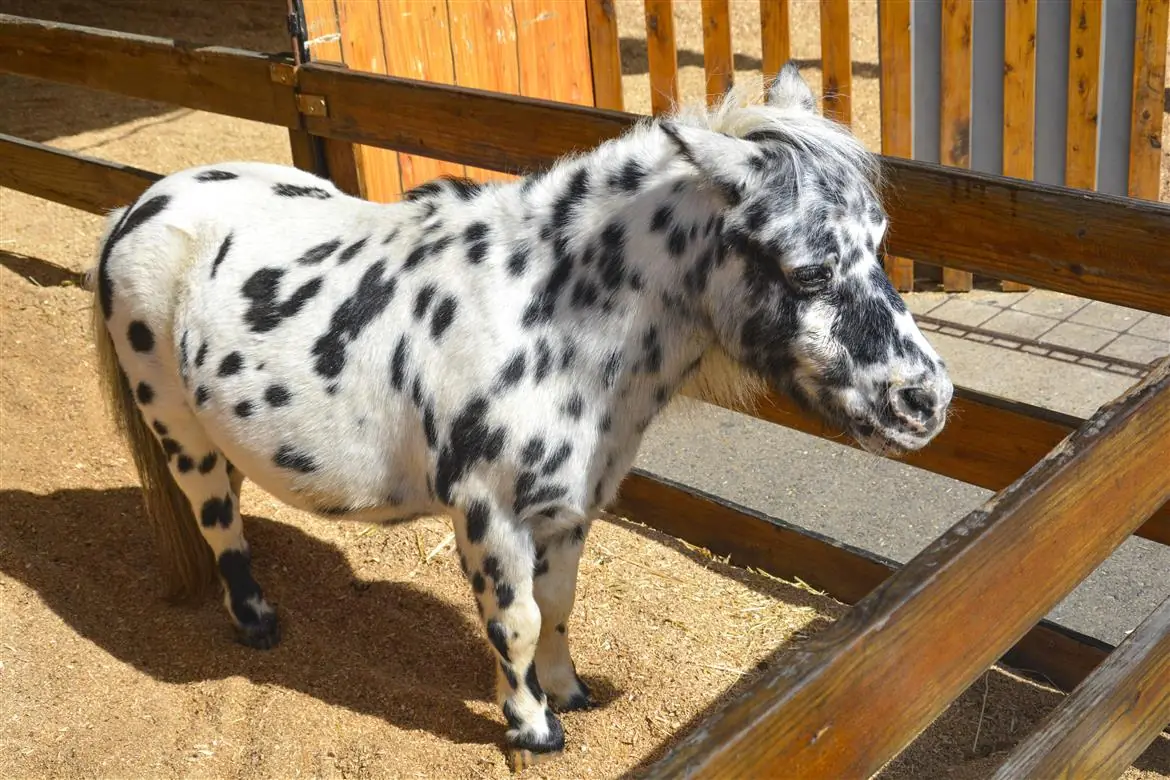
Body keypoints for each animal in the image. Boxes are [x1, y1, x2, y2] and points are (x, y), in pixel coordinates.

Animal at [86, 63, 953, 769]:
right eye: (808, 270)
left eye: (878, 242)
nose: (926, 401)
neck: (546, 323)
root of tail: (141, 204)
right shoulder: (489, 514)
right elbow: (517, 623)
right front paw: (533, 729)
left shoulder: (568, 510)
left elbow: (558, 608)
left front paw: (569, 694)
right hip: (179, 432)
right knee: (215, 516)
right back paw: (256, 619)